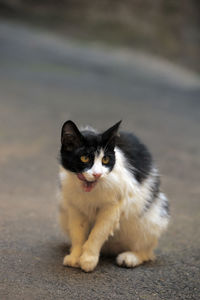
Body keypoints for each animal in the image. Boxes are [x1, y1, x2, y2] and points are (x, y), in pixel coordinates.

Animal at [58, 119, 170, 272]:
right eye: (85, 158)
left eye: (105, 160)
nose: (97, 174)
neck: (91, 189)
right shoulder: (75, 207)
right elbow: (77, 233)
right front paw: (75, 256)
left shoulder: (113, 207)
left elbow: (98, 233)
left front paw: (88, 259)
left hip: (153, 218)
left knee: (147, 251)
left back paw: (130, 257)